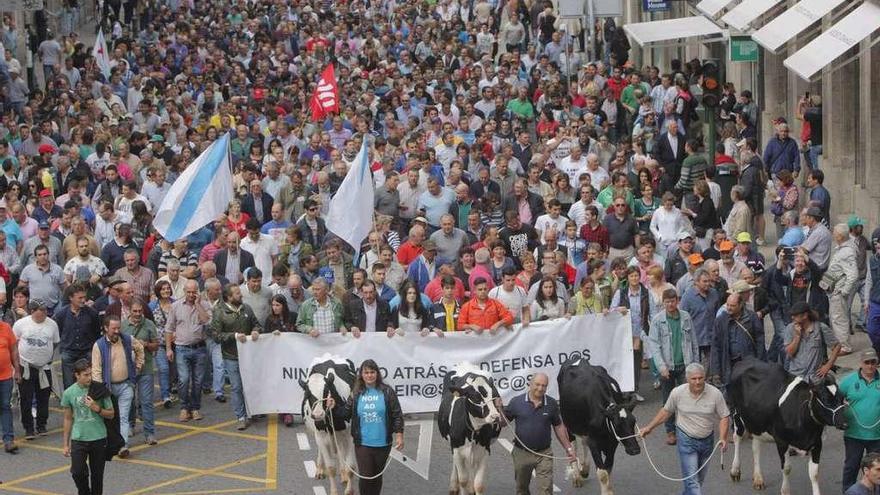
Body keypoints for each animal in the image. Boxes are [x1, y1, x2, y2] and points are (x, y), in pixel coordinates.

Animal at [300, 354, 360, 494]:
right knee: (322, 451)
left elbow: (351, 467)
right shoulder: (321, 435)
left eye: (326, 390)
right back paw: (320, 469)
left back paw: (343, 474)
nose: (317, 414)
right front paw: (333, 491)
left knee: (341, 450)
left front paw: (349, 490)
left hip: (341, 435)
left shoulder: (349, 435)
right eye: (307, 394)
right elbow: (331, 468)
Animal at [434, 360, 498, 495]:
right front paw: (462, 486)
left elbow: (479, 484)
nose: (495, 416)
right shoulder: (457, 449)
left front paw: (474, 488)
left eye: (494, 395)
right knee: (457, 467)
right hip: (454, 446)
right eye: (476, 397)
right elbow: (463, 479)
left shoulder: (485, 450)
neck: (473, 431)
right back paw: (454, 486)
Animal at [556, 356, 640, 495]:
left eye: (633, 422)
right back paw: (577, 477)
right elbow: (603, 473)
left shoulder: (612, 442)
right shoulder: (594, 441)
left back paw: (584, 469)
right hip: (568, 423)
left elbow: (608, 468)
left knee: (583, 441)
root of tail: (577, 358)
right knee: (572, 445)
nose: (635, 450)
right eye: (617, 425)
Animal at [728, 358, 844, 494]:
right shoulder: (781, 441)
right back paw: (735, 471)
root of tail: (746, 360)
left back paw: (758, 479)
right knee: (737, 438)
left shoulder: (816, 443)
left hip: (757, 422)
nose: (845, 422)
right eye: (825, 399)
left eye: (842, 397)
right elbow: (787, 468)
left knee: (756, 447)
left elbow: (814, 473)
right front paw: (785, 490)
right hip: (737, 415)